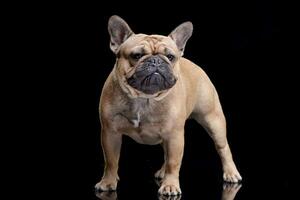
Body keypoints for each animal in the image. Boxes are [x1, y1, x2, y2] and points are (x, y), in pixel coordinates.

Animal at [95, 15, 241, 195]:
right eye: (136, 55)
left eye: (170, 57)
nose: (156, 61)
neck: (144, 98)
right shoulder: (110, 132)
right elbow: (111, 161)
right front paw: (108, 181)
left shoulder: (175, 135)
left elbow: (173, 162)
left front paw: (170, 185)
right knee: (165, 153)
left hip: (213, 120)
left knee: (223, 148)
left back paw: (231, 173)